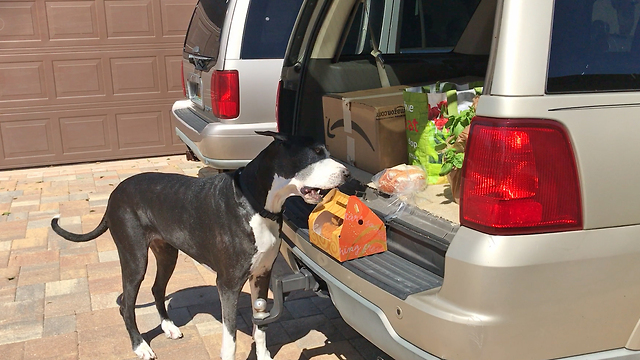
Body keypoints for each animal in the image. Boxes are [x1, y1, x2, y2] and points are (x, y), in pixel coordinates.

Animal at [50, 133, 350, 360]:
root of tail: (115, 192)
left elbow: (262, 328)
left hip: (166, 252)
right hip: (134, 258)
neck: (255, 203)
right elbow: (230, 340)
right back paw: (140, 346)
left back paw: (169, 327)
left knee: (157, 289)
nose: (346, 172)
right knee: (126, 303)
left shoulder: (262, 276)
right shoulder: (227, 284)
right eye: (316, 153)